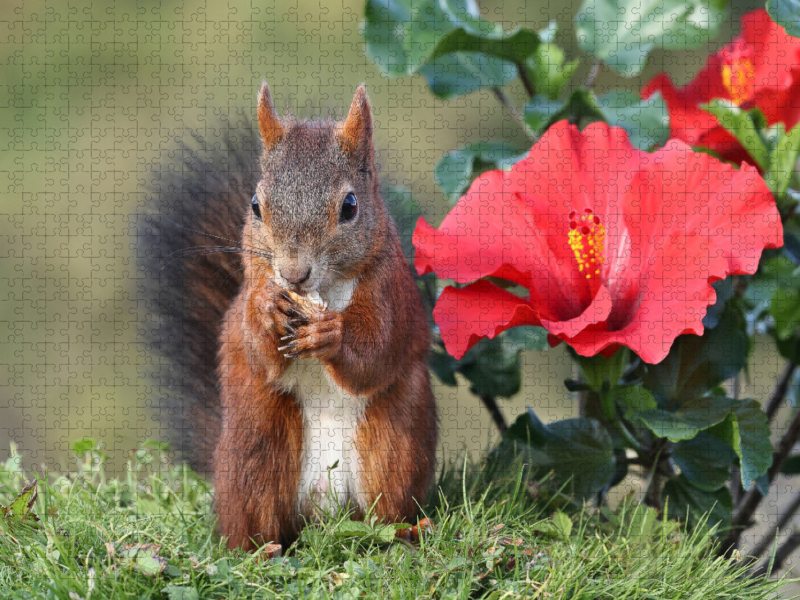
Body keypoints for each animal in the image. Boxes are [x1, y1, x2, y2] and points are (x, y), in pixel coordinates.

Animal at [138, 83, 438, 548]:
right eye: (255, 205)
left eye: (350, 206)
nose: (294, 273)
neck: (323, 292)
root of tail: (324, 514)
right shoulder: (246, 299)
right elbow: (255, 349)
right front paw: (268, 312)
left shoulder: (392, 294)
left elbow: (377, 352)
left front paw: (332, 334)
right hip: (257, 438)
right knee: (255, 519)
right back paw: (261, 549)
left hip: (396, 437)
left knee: (386, 505)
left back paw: (406, 529)